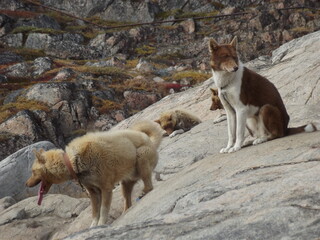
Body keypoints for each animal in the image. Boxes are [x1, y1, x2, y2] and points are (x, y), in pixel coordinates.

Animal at [25, 121, 162, 226]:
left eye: (33, 171)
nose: (26, 184)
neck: (73, 161)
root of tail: (151, 142)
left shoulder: (106, 188)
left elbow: (103, 210)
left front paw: (101, 225)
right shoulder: (94, 192)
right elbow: (95, 212)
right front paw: (93, 226)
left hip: (141, 156)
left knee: (149, 185)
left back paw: (144, 191)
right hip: (125, 184)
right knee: (127, 202)